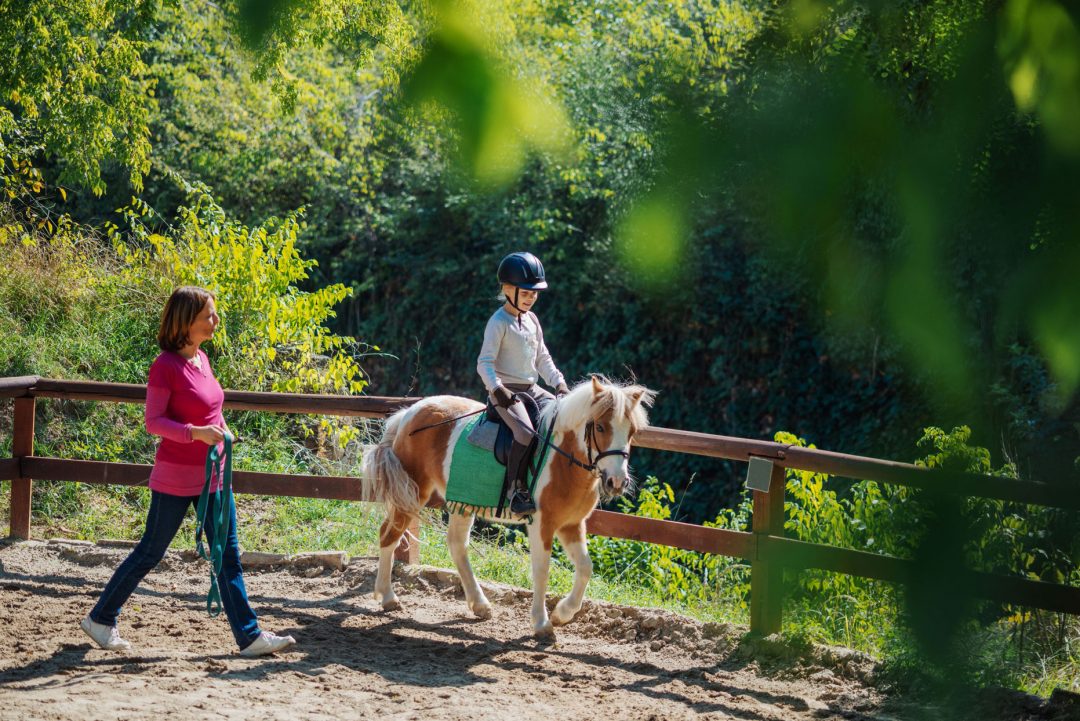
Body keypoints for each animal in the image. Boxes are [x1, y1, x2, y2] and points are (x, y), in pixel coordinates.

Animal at [362, 377, 652, 634]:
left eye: (632, 432)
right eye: (600, 428)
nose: (617, 482)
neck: (564, 460)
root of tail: (409, 413)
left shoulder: (571, 524)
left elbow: (585, 568)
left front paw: (562, 614)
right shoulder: (542, 524)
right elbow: (541, 571)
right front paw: (542, 624)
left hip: (462, 503)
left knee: (456, 545)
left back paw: (480, 605)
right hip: (414, 492)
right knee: (389, 534)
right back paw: (388, 598)